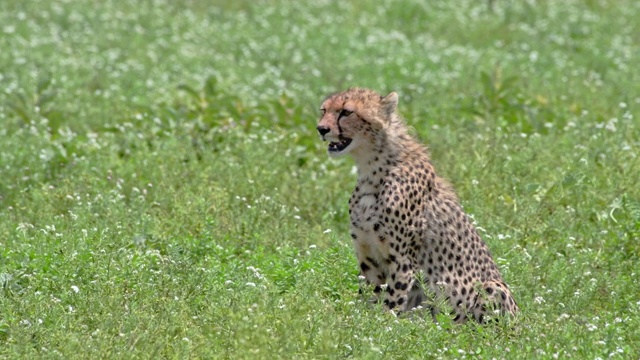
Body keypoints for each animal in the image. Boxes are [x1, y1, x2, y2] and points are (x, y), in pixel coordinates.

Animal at [318, 88, 516, 324]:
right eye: (324, 110)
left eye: (347, 112)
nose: (321, 129)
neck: (372, 168)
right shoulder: (369, 257)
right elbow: (368, 298)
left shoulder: (403, 260)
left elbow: (392, 302)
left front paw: (382, 326)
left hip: (493, 287)